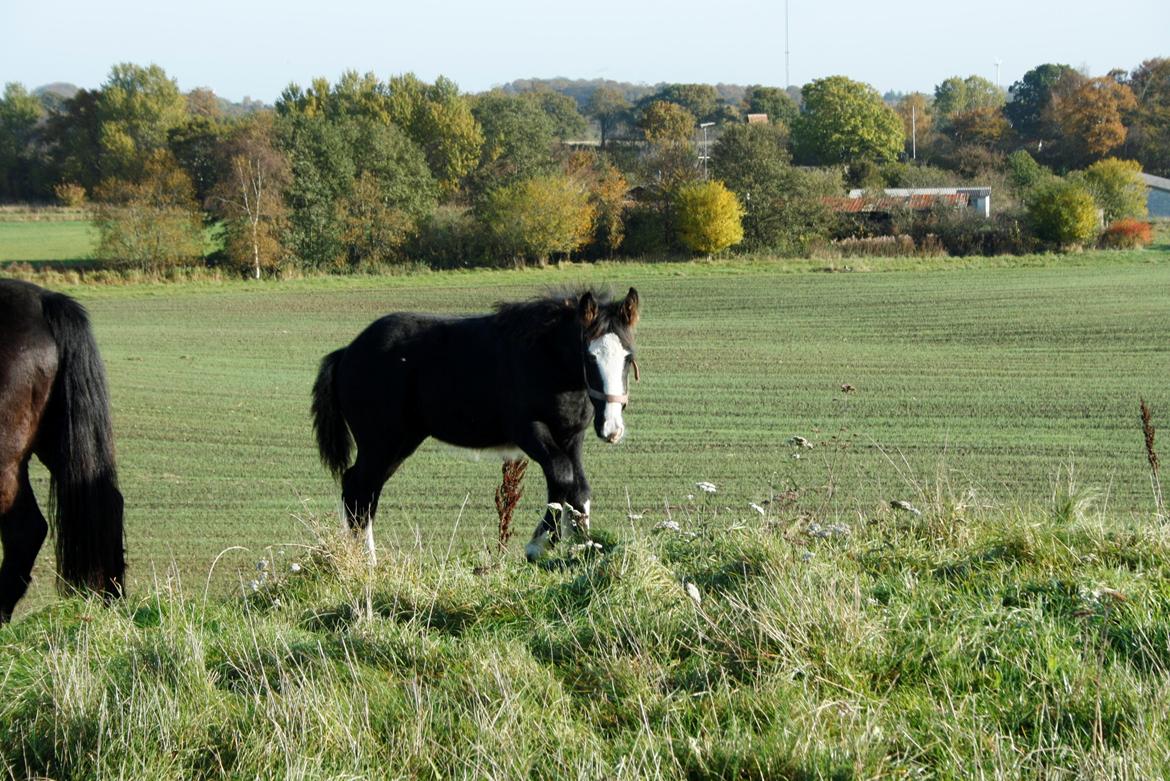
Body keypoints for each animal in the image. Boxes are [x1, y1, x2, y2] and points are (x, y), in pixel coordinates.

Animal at [313, 289, 641, 558]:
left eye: (628, 357)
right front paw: (539, 545)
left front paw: (582, 547)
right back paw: (367, 563)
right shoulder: (528, 430)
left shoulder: (571, 436)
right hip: (380, 442)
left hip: (400, 442)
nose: (612, 429)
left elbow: (578, 491)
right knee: (360, 490)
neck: (545, 359)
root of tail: (347, 352)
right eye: (590, 356)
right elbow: (562, 476)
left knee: (361, 490)